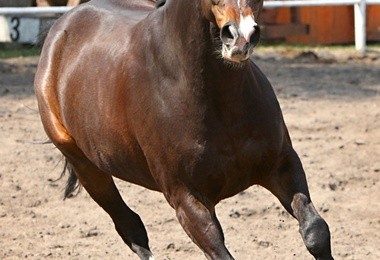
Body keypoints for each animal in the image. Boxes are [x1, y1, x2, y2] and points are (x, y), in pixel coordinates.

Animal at [35, 0, 332, 258]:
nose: (240, 37)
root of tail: (61, 28)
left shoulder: (282, 165)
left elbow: (316, 232)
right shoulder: (186, 199)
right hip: (87, 168)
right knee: (130, 227)